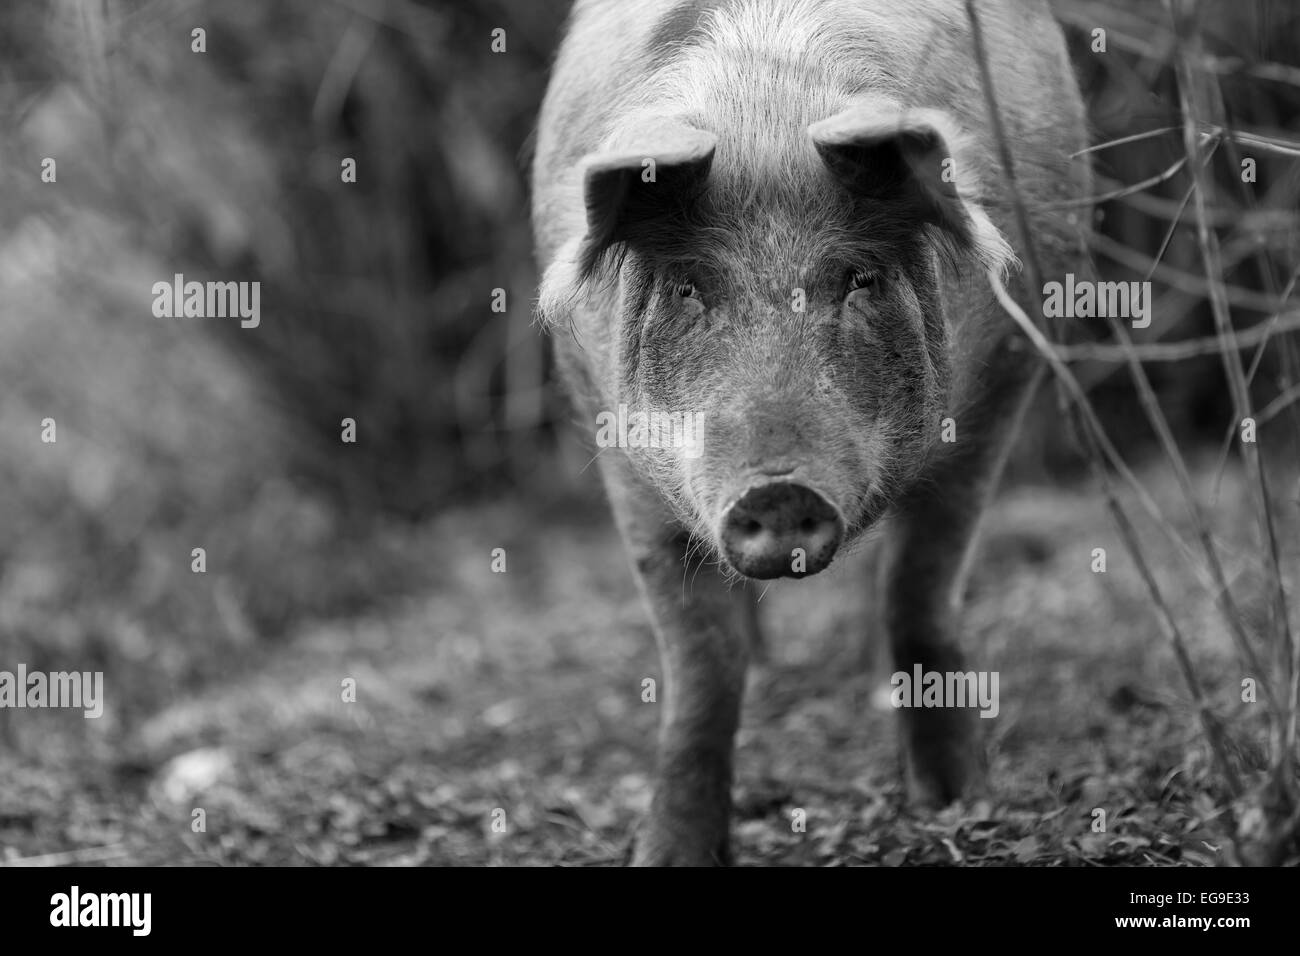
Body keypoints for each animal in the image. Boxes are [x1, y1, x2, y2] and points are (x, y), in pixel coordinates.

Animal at [527, 0, 1086, 868]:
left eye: (859, 278)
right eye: (688, 286)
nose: (779, 489)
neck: (763, 117)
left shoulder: (1004, 378)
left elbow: (916, 587)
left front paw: (956, 804)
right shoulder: (607, 428)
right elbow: (702, 661)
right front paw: (668, 855)